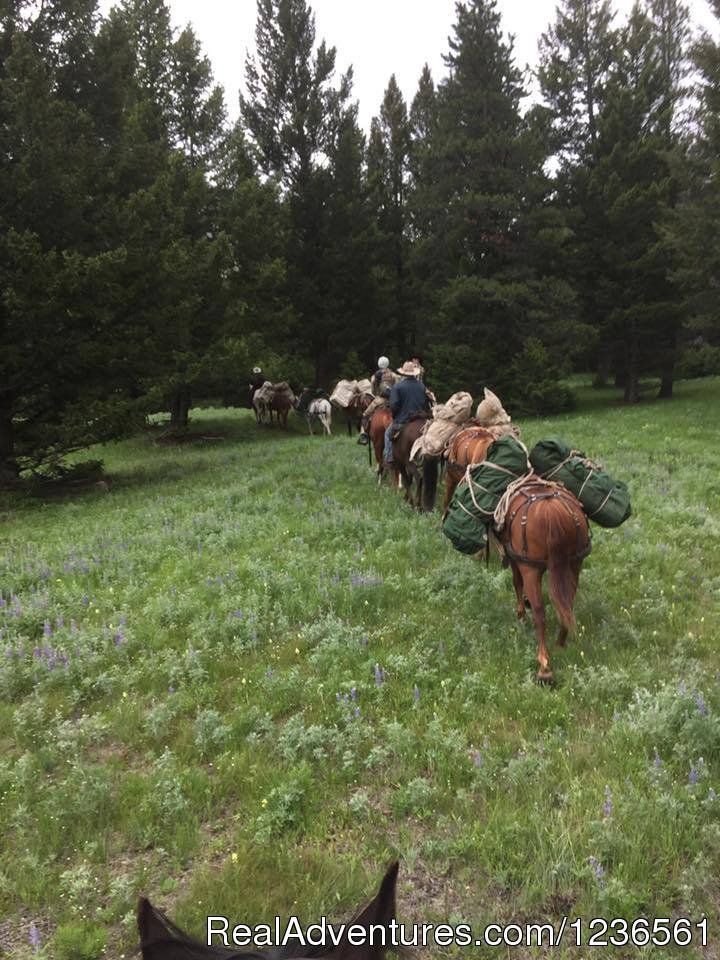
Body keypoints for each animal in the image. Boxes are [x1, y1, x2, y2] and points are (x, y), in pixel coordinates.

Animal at [500, 484, 592, 688]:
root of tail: (552, 511)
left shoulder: (517, 560)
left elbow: (517, 583)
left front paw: (521, 614)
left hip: (531, 569)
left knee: (539, 612)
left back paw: (544, 667)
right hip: (574, 564)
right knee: (566, 605)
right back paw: (560, 643)